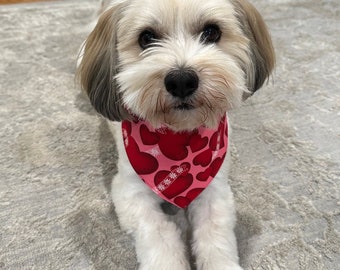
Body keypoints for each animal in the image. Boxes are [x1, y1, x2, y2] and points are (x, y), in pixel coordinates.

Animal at [76, 0, 274, 268]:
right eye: (146, 37)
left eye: (211, 32)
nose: (181, 80)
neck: (178, 136)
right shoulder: (130, 192)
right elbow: (158, 233)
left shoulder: (214, 185)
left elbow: (215, 234)